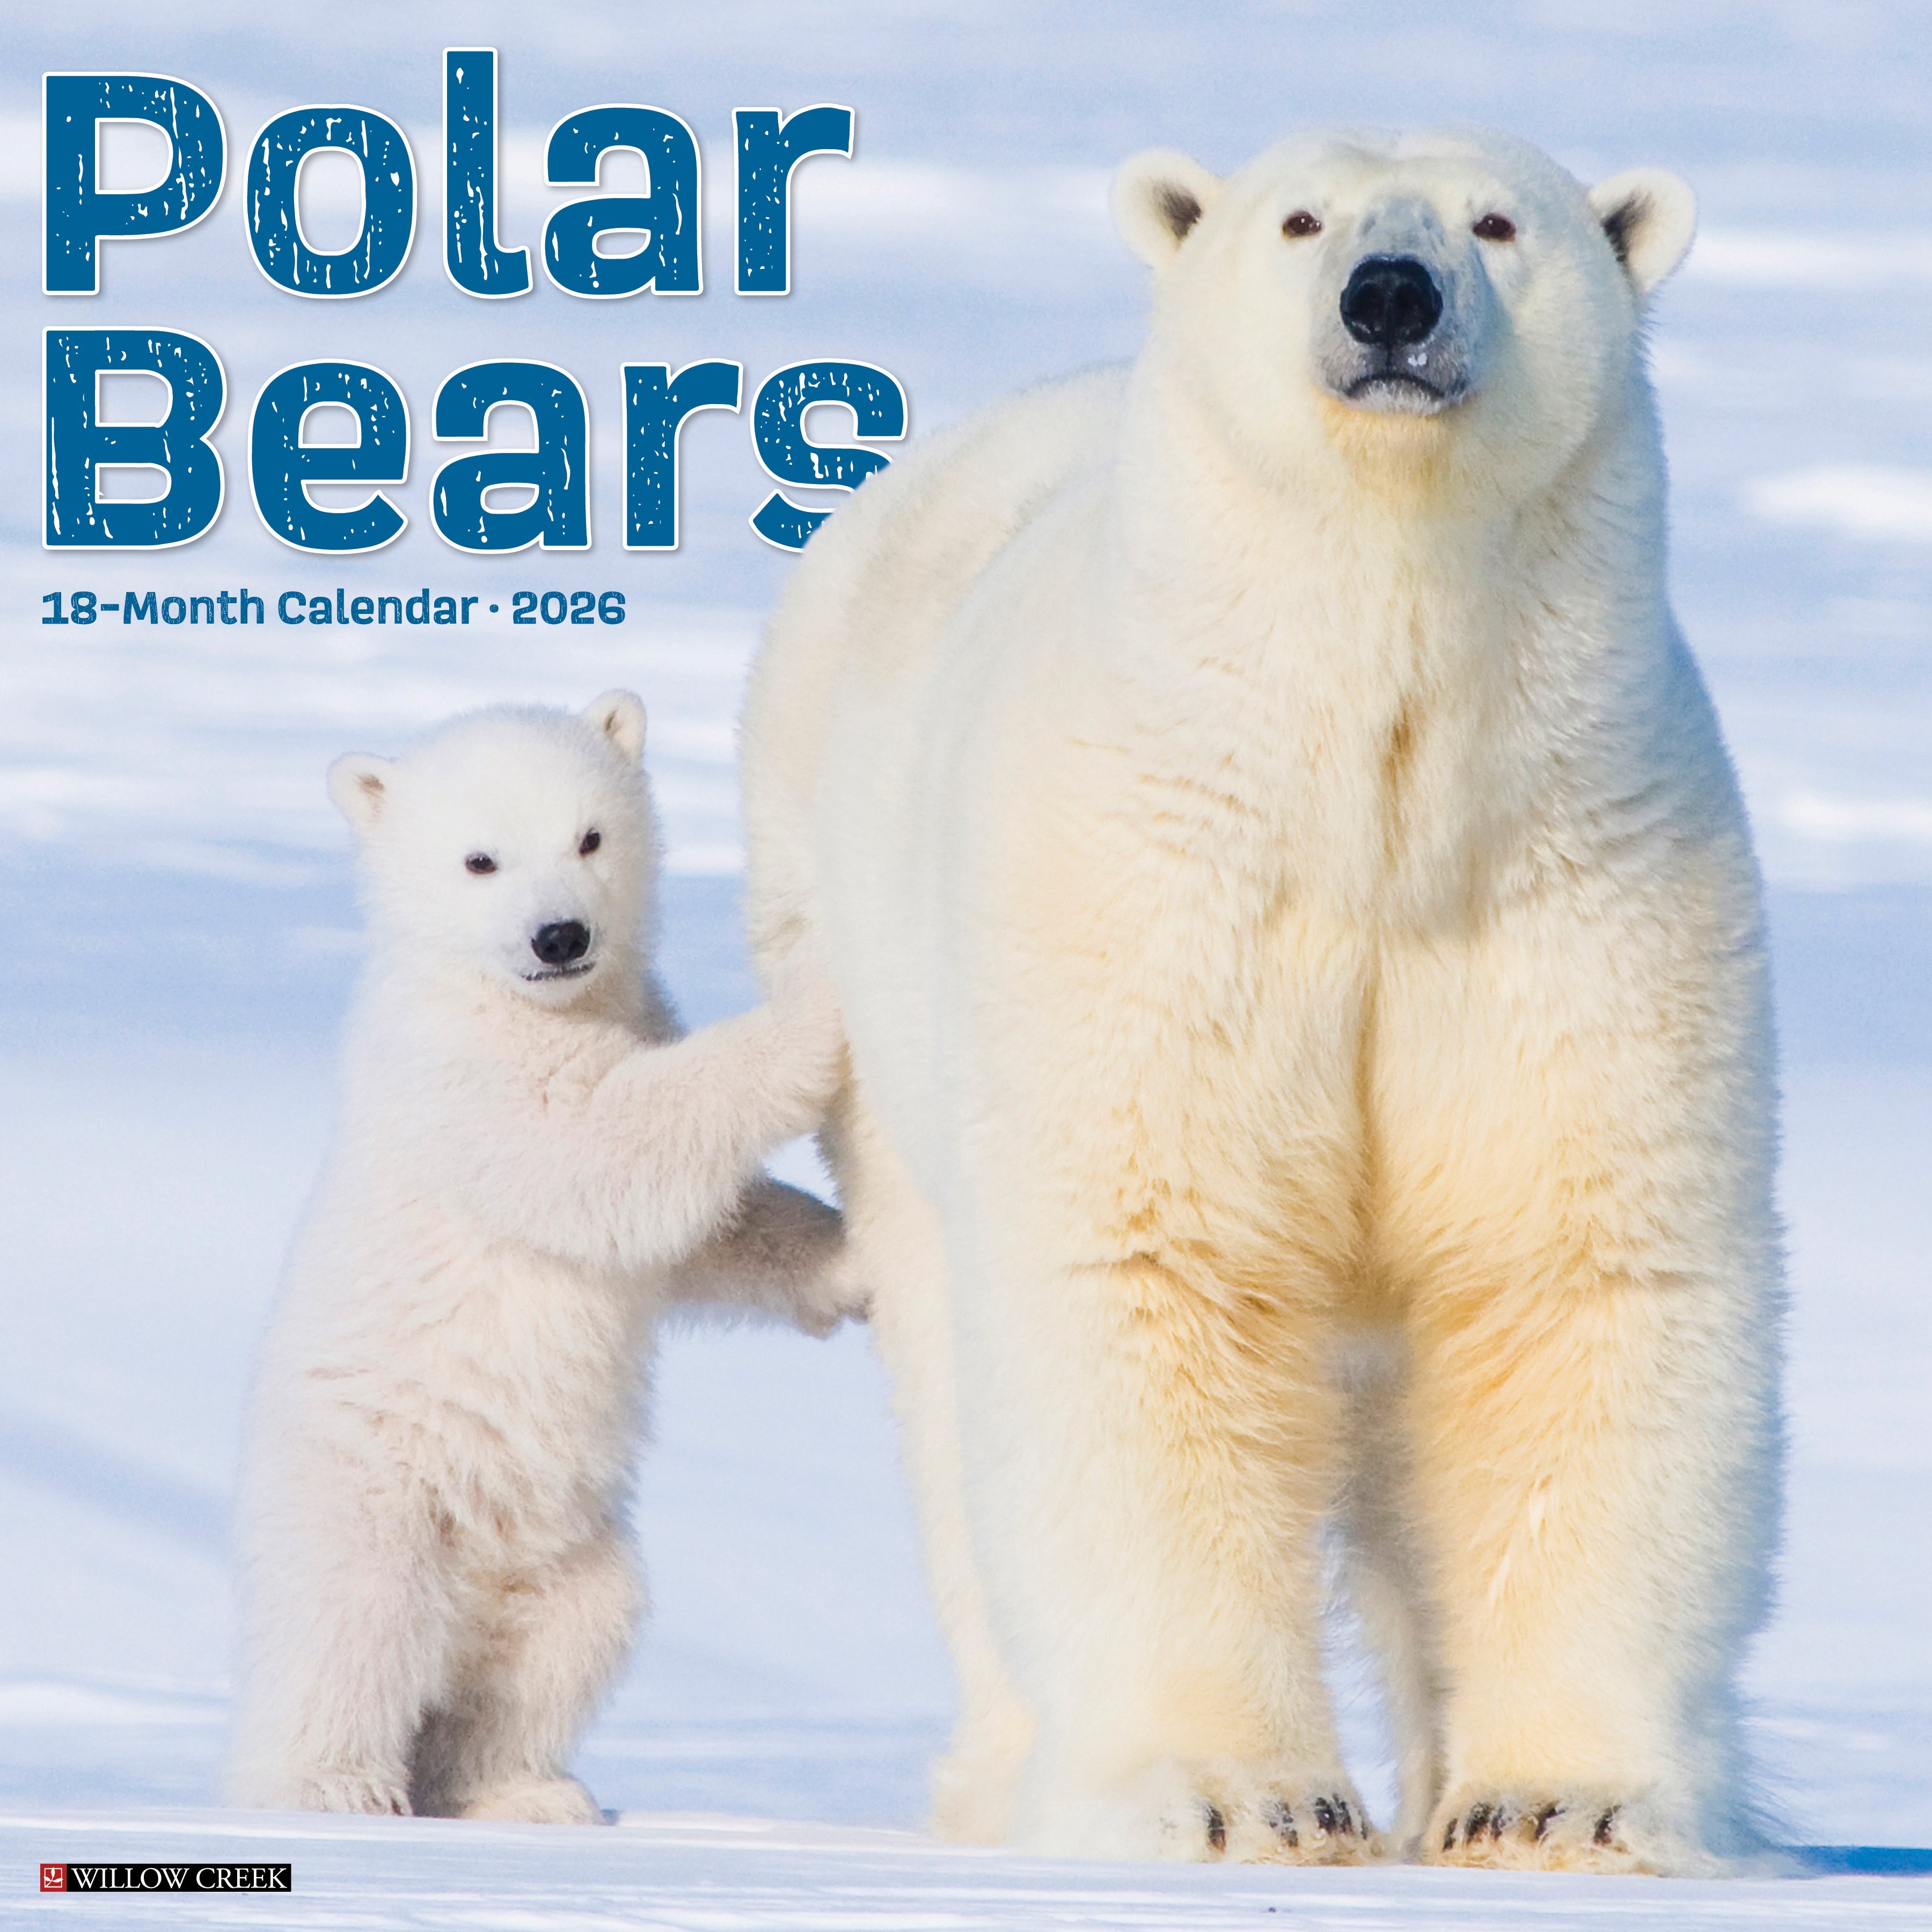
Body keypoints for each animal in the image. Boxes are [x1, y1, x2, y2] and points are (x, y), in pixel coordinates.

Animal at [227, 692, 859, 1823]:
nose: (561, 936)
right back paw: (331, 1784)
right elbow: (604, 1145)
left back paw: (519, 1790)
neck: (508, 995)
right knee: (354, 1623)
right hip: (372, 1481)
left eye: (590, 837)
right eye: (481, 859)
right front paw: (817, 1007)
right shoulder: (464, 1080)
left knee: (566, 1637)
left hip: (567, 1547)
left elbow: (700, 1234)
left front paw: (848, 1262)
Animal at [738, 129, 1781, 1875]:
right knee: (952, 1386)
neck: (1371, 792)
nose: (1391, 296)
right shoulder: (1157, 888)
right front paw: (1247, 1800)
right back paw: (1007, 1775)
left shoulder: (1572, 884)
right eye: (1300, 218)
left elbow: (1570, 1278)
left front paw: (1553, 1803)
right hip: (859, 986)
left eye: (1499, 221)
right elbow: (1153, 1271)